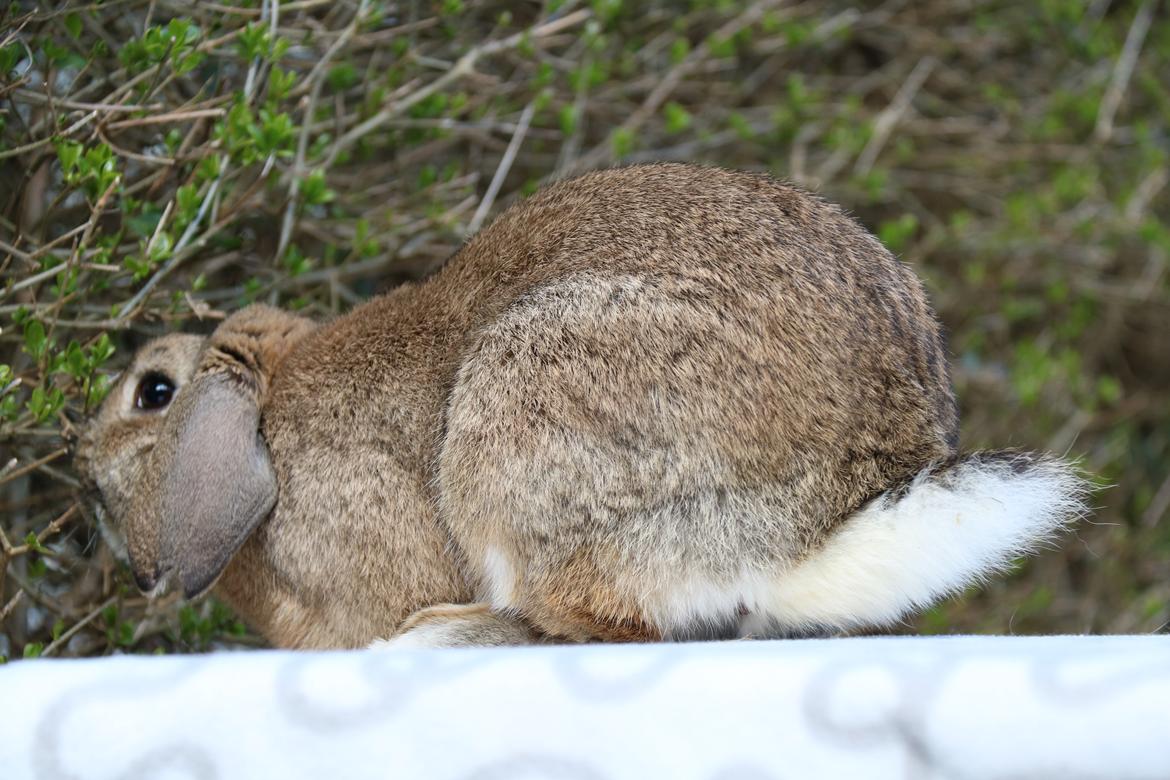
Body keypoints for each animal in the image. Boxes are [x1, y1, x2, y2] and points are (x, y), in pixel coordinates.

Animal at [70, 161, 1085, 650]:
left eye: (154, 392)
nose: (78, 464)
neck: (270, 419)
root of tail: (822, 522)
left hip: (527, 427)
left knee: (595, 620)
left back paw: (445, 635)